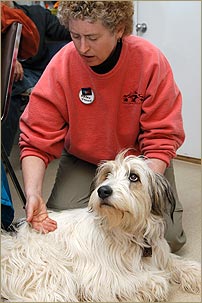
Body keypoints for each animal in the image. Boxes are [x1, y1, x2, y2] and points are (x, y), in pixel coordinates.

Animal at [1, 153, 200, 302]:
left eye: (133, 176)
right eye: (107, 175)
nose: (103, 190)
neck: (128, 232)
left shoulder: (160, 252)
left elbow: (177, 263)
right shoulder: (100, 278)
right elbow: (155, 281)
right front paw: (156, 282)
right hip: (52, 275)